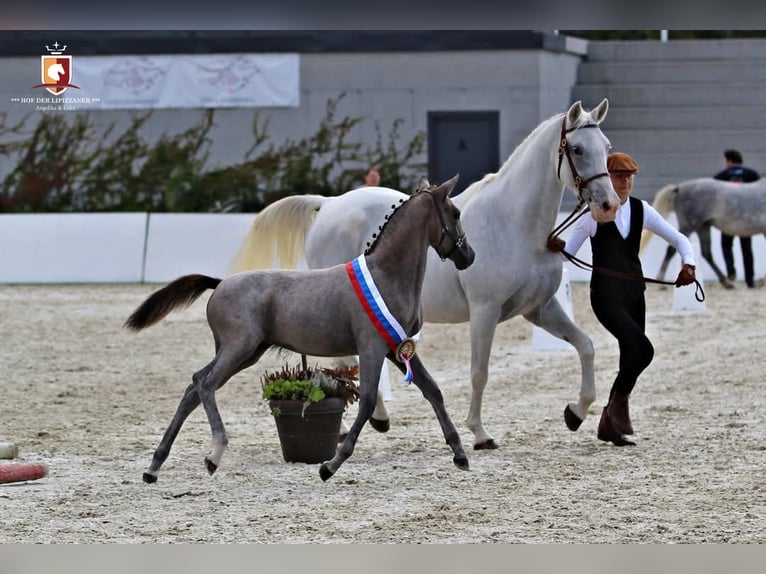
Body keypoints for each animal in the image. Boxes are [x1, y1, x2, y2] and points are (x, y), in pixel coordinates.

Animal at [231, 100, 620, 450]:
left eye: (607, 148)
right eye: (577, 148)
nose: (608, 205)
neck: (514, 224)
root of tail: (328, 204)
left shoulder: (539, 309)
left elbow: (585, 346)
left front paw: (575, 413)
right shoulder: (485, 311)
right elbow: (479, 372)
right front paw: (480, 434)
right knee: (346, 361)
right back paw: (376, 418)